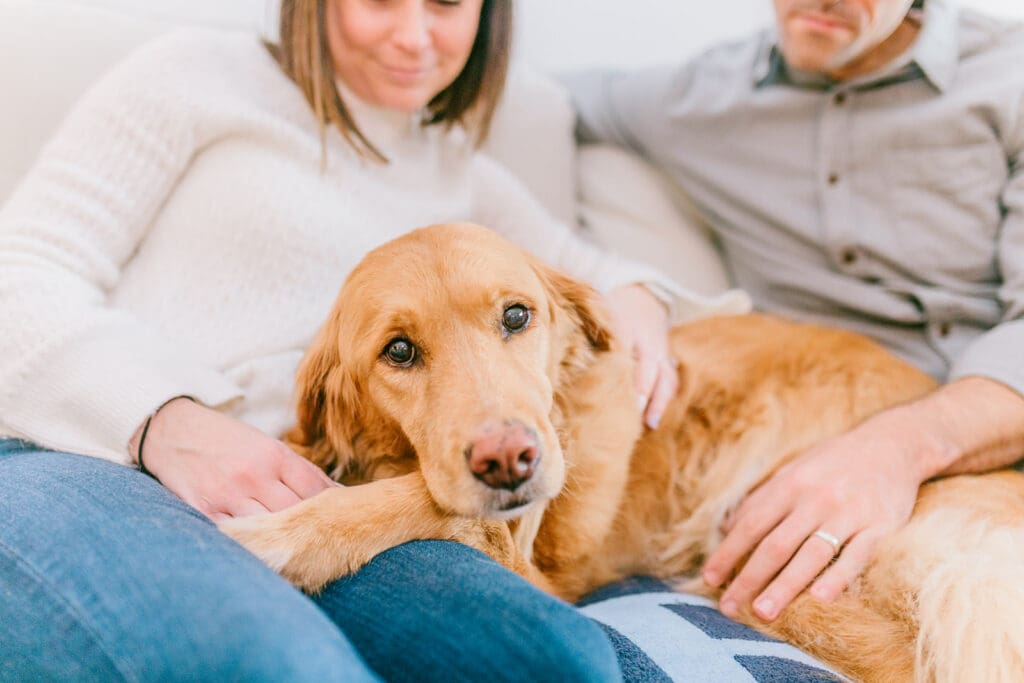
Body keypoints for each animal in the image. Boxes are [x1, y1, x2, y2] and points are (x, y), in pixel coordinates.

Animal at [220, 222, 1024, 679]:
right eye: (398, 351)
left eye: (517, 315)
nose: (509, 459)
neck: (560, 408)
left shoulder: (531, 562)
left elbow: (416, 498)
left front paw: (276, 537)